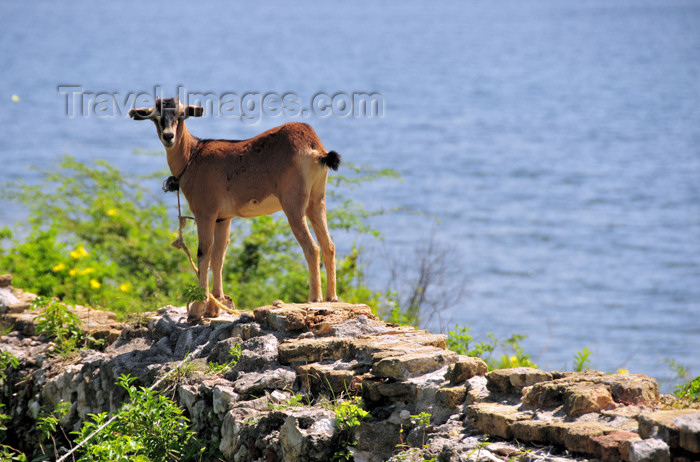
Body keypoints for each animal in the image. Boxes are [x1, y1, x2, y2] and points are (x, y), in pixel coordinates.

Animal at [131, 97, 342, 322]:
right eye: (156, 117)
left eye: (181, 115)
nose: (168, 136)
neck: (192, 156)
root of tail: (316, 148)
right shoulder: (223, 218)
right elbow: (218, 256)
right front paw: (214, 307)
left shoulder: (205, 214)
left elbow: (203, 254)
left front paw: (197, 309)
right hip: (316, 200)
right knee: (328, 245)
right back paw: (331, 297)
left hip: (293, 205)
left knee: (312, 247)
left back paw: (314, 298)